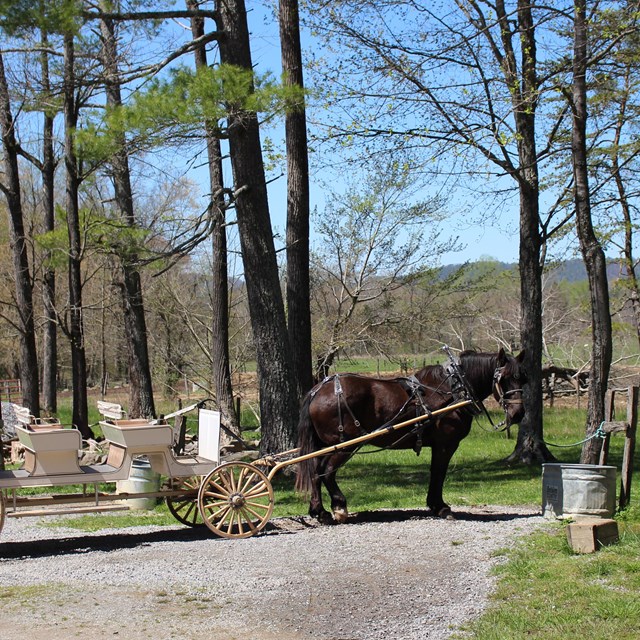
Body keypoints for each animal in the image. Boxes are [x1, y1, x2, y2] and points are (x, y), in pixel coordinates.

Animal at [296, 348, 524, 524]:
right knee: (326, 471)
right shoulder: (445, 445)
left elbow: (436, 472)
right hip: (344, 445)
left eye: (522, 377)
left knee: (315, 471)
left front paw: (435, 505)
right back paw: (339, 506)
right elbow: (438, 472)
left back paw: (320, 511)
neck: (453, 389)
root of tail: (317, 390)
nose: (518, 414)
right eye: (503, 378)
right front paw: (440, 507)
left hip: (327, 445)